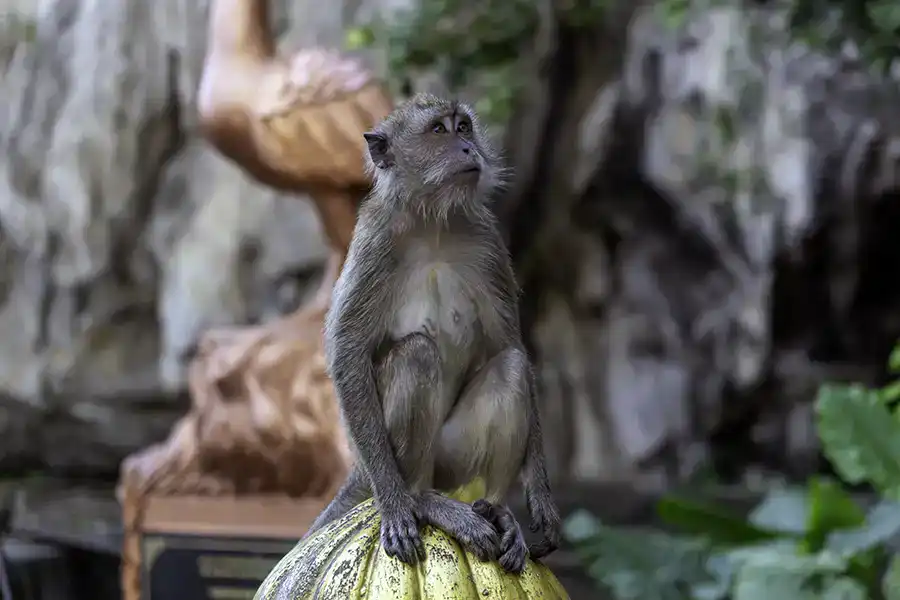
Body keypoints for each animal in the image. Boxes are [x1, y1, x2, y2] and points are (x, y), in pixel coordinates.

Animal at [304, 93, 560, 575]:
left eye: (464, 127)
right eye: (438, 131)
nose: (467, 148)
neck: (433, 223)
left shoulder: (487, 241)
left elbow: (508, 345)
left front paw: (540, 494)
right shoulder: (375, 240)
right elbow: (347, 351)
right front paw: (395, 504)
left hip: (453, 459)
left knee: (512, 367)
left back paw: (498, 509)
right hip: (389, 456)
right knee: (416, 355)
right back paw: (419, 499)